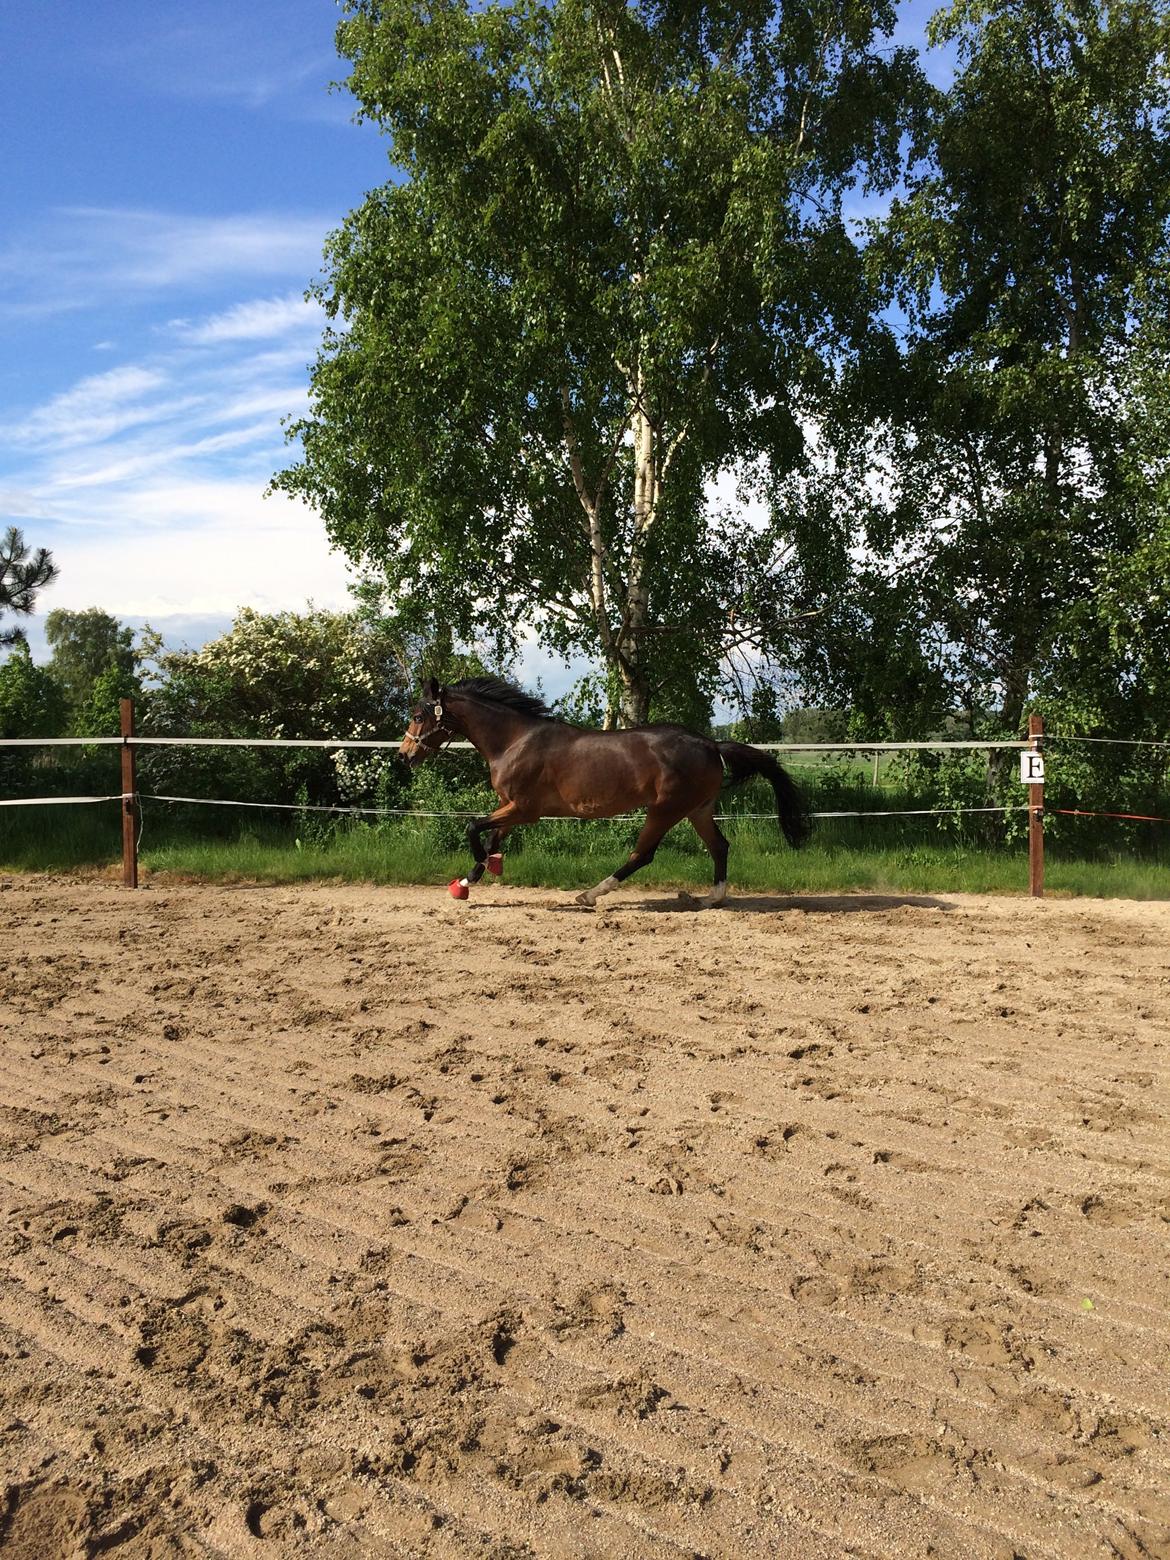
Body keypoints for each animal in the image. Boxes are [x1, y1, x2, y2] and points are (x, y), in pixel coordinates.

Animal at [399, 675, 811, 908]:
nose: (404, 756)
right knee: (720, 846)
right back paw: (710, 898)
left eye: (419, 715)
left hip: (665, 809)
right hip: (699, 809)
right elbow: (492, 836)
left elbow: (473, 827)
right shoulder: (509, 806)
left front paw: (476, 873)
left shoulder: (525, 809)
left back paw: (590, 895)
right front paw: (471, 878)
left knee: (642, 855)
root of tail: (711, 744)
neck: (514, 741)